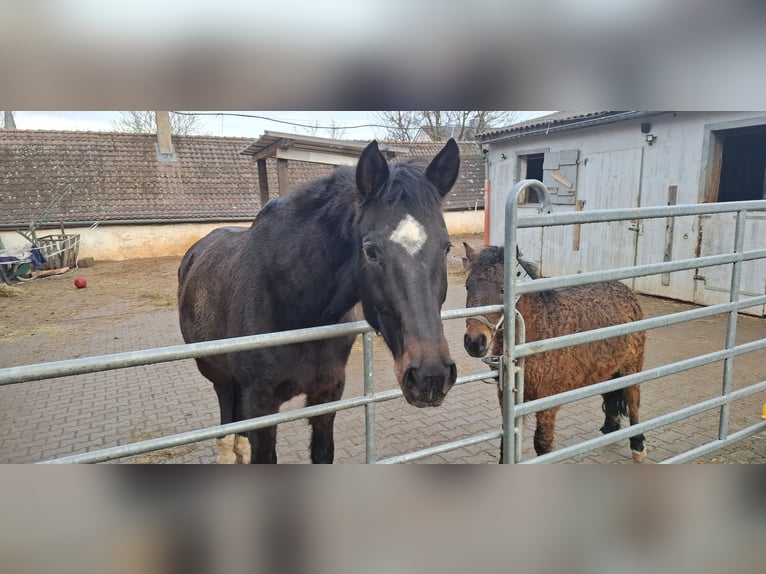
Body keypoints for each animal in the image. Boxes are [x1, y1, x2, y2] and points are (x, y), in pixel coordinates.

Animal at [178, 139, 460, 463]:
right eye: (371, 251)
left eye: (447, 247)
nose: (431, 376)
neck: (297, 310)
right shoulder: (261, 407)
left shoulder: (327, 394)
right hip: (221, 380)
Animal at [462, 243, 648, 463]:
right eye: (468, 286)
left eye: (503, 289)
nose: (474, 342)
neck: (540, 331)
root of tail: (626, 291)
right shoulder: (507, 398)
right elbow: (505, 442)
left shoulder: (547, 400)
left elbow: (542, 442)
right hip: (608, 370)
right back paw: (610, 429)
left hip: (632, 366)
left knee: (633, 399)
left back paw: (638, 444)